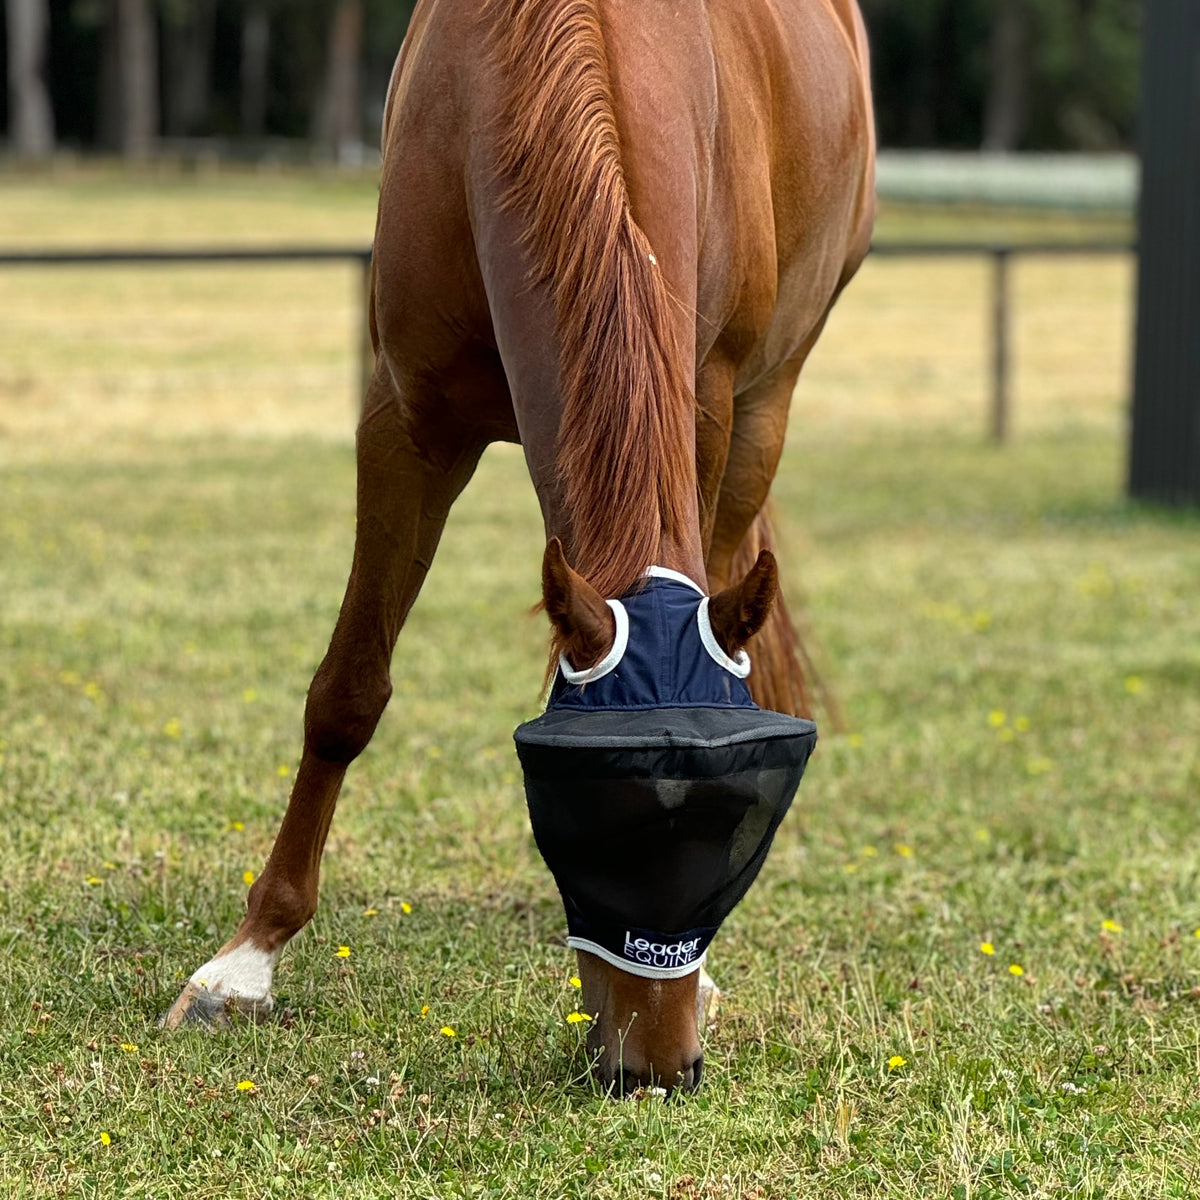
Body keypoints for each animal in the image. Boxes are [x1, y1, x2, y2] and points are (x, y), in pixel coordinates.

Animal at [164, 0, 875, 1095]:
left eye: (729, 825)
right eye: (592, 819)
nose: (657, 1069)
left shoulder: (703, 411)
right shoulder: (408, 424)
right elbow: (346, 694)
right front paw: (246, 963)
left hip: (767, 404)